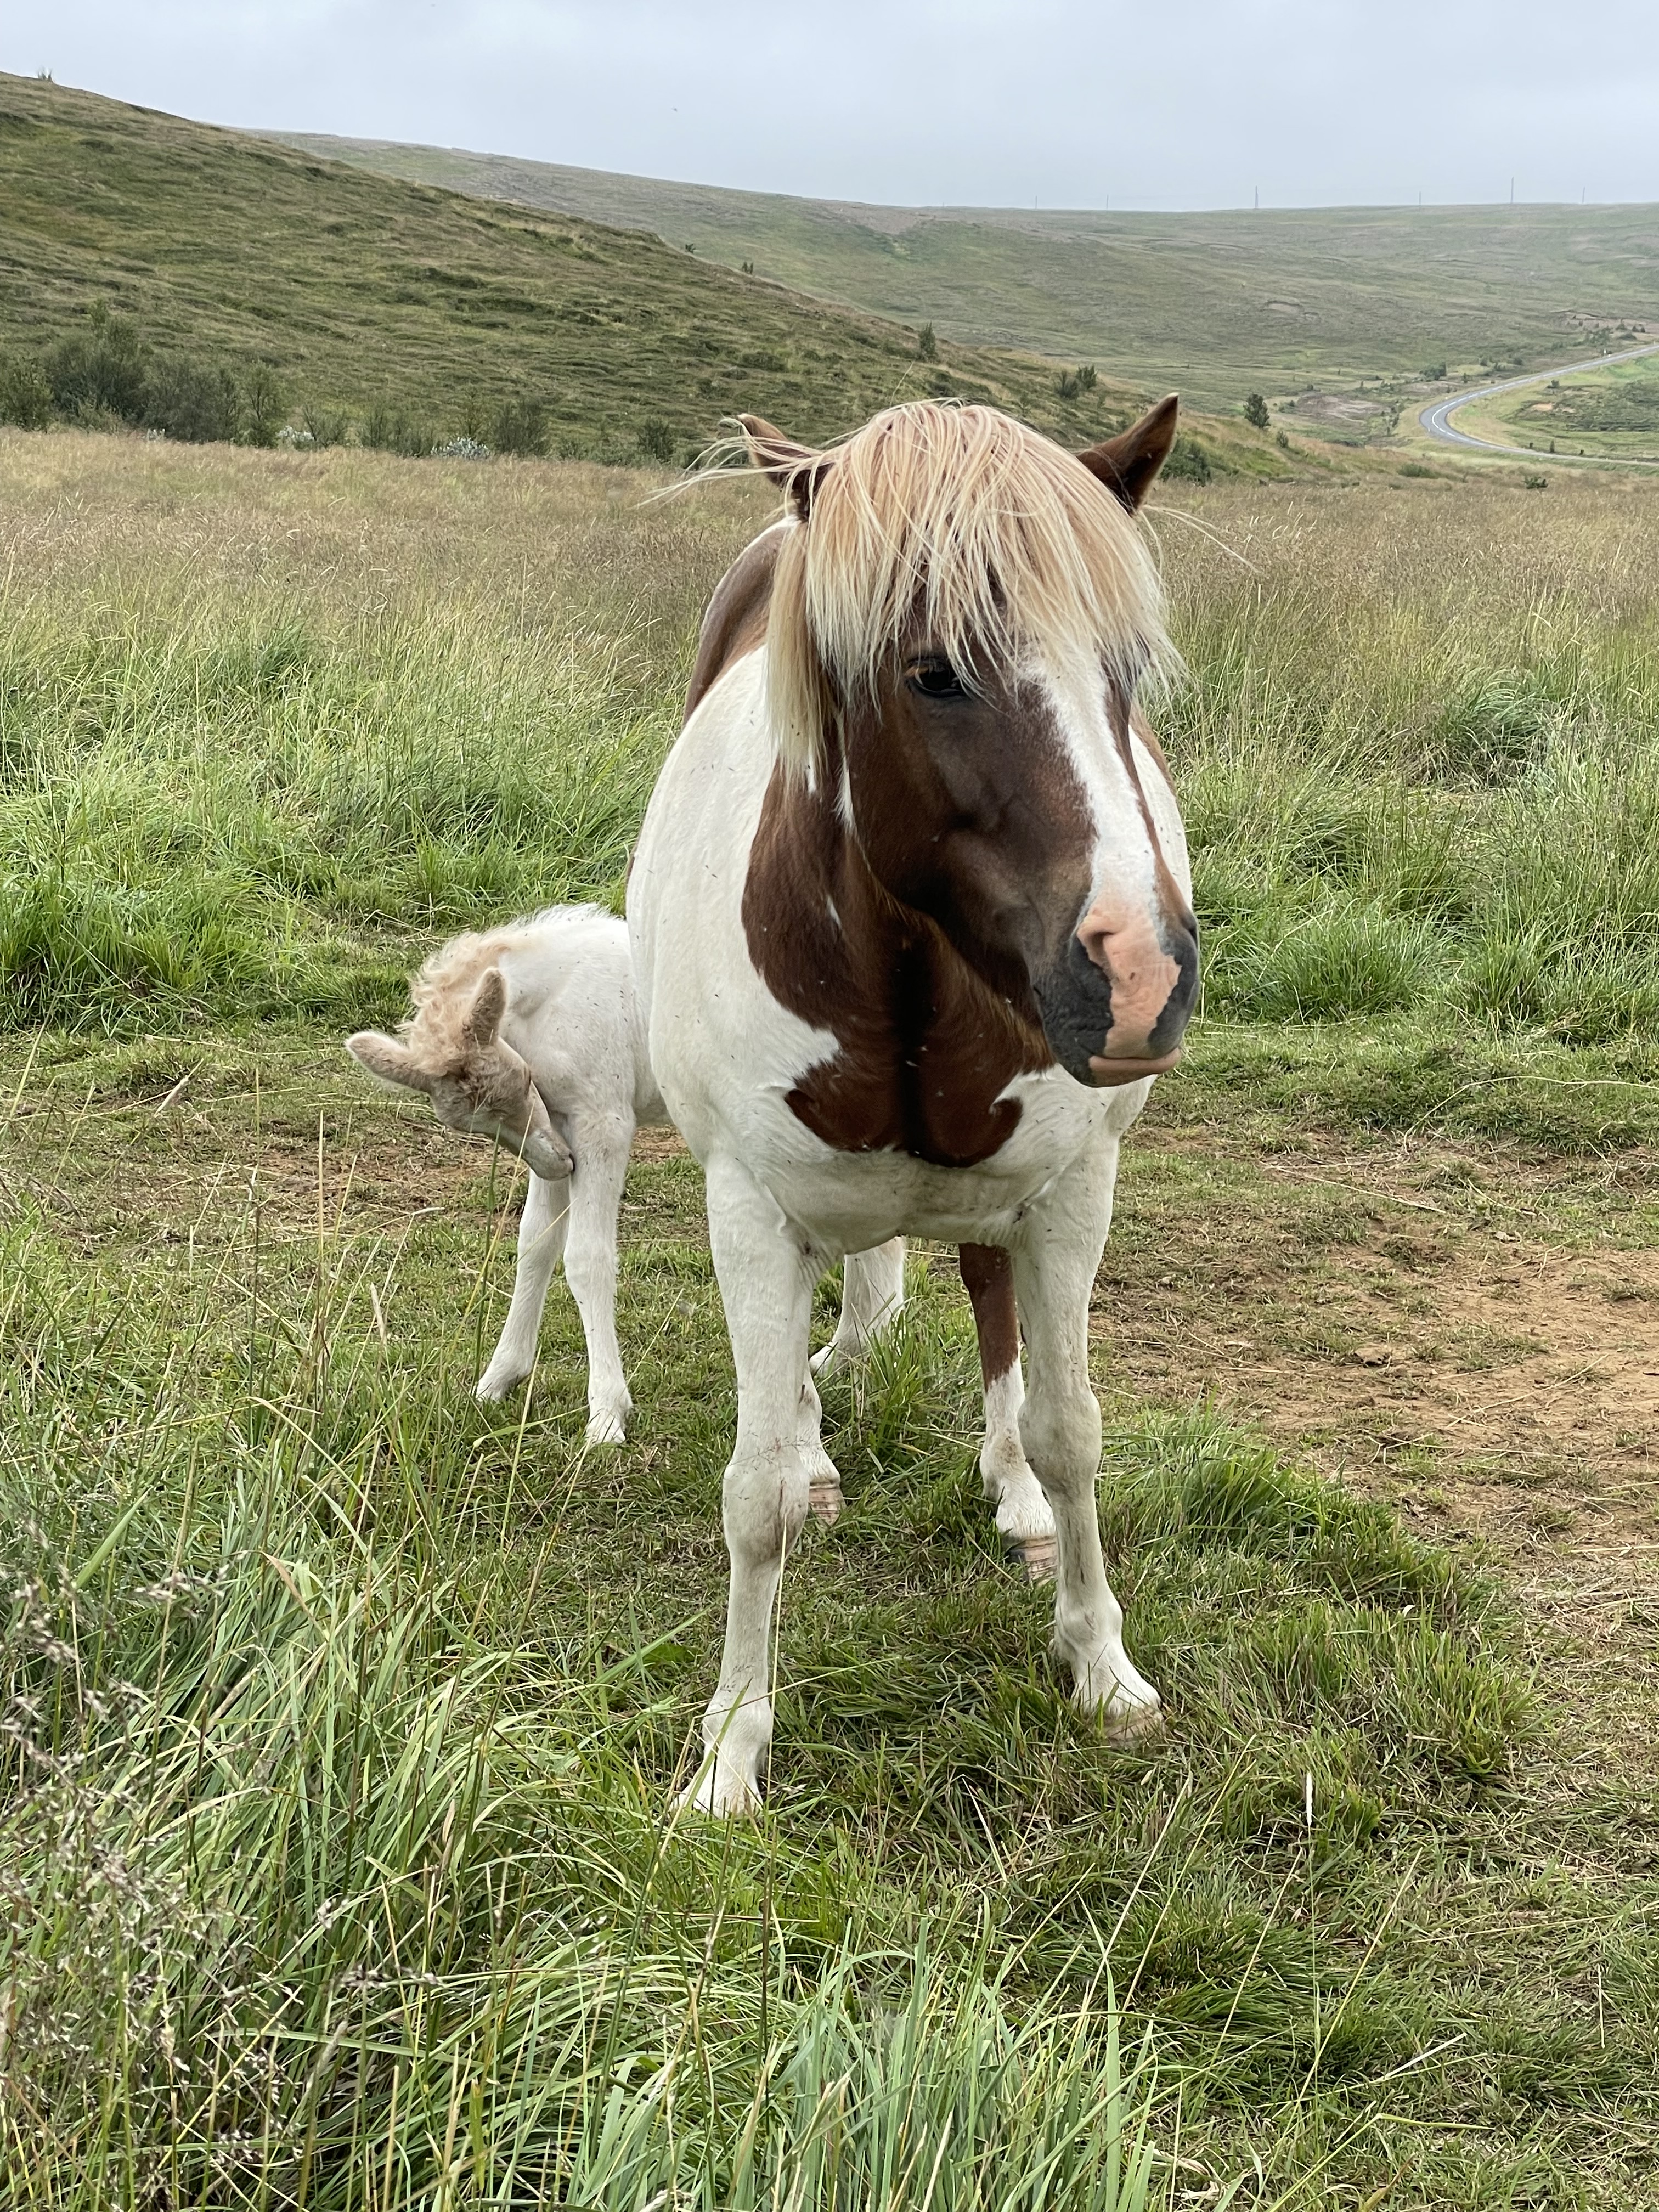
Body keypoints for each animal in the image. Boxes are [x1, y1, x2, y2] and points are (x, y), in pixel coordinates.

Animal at [345, 908, 1058, 1528]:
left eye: (514, 1087)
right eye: (471, 1124)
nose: (556, 1163)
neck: (553, 1005)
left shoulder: (602, 1123)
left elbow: (587, 1259)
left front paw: (606, 1414)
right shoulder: (564, 1126)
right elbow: (535, 1246)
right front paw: (499, 1378)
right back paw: (851, 1349)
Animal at [628, 395, 1197, 1814]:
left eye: (1127, 670)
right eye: (936, 672)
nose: (1143, 978)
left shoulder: (1071, 1192)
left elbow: (1073, 1430)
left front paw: (1102, 1664)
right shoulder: (750, 1210)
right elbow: (758, 1490)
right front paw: (731, 1748)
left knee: (988, 1299)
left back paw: (1010, 1494)